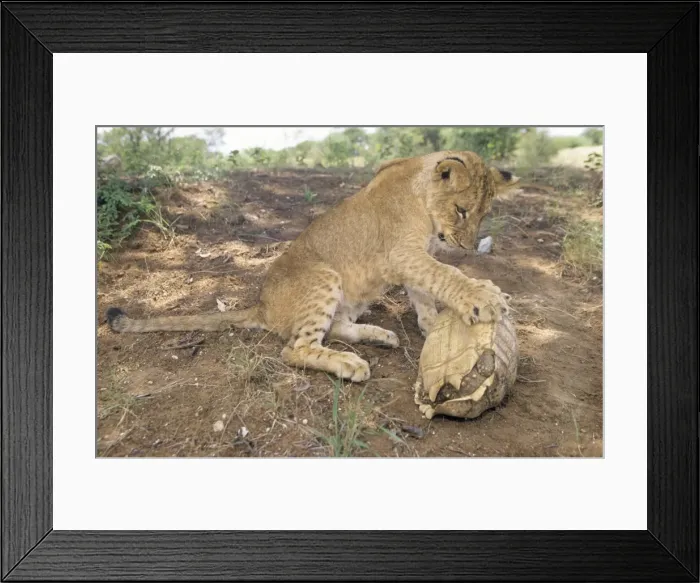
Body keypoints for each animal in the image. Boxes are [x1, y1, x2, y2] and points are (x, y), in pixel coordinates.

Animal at [106, 150, 519, 382]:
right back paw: (350, 365)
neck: (421, 194)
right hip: (323, 276)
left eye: (483, 215)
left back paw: (379, 336)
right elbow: (445, 275)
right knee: (295, 349)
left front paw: (434, 328)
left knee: (336, 327)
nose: (467, 247)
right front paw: (485, 296)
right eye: (461, 210)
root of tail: (262, 307)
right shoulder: (403, 254)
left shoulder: (413, 259)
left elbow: (425, 294)